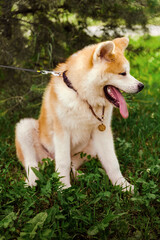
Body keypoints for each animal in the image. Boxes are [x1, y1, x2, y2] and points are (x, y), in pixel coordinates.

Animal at [15, 37, 144, 191]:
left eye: (128, 72)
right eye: (123, 73)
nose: (141, 86)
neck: (83, 98)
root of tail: (50, 159)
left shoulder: (103, 133)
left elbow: (112, 162)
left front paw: (122, 185)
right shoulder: (62, 132)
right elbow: (63, 162)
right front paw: (63, 187)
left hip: (92, 147)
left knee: (72, 165)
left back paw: (80, 176)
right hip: (25, 128)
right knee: (32, 164)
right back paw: (32, 181)